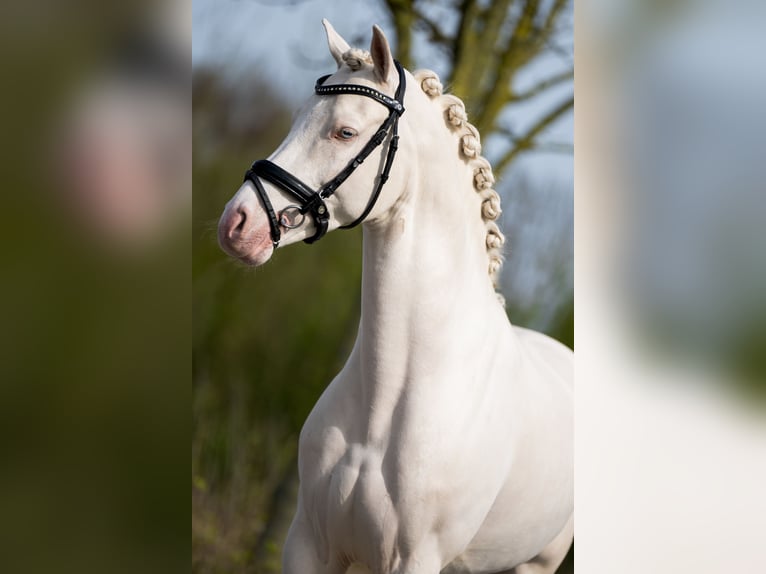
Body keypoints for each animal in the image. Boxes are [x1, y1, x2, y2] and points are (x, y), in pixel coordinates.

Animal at [219, 19, 572, 574]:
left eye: (345, 131)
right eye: (297, 119)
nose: (237, 224)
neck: (388, 404)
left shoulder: (414, 558)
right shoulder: (309, 543)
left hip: (535, 564)